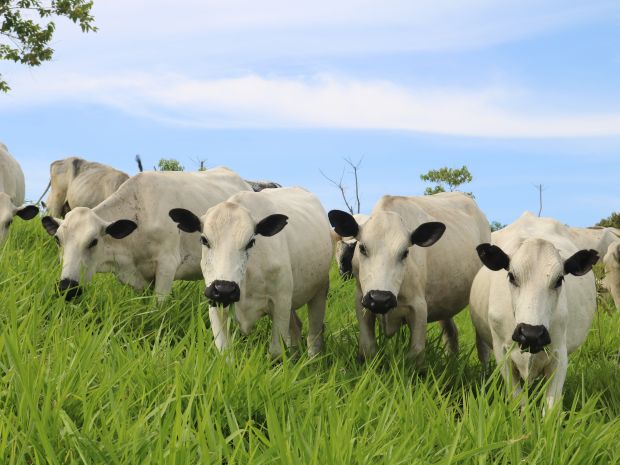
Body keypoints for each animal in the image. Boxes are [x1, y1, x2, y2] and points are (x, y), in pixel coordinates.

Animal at [170, 187, 332, 358]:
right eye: (204, 240)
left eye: (251, 242)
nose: (224, 289)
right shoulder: (215, 304)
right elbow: (224, 353)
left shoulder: (280, 303)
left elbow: (275, 352)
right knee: (295, 328)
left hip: (320, 291)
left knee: (314, 333)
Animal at [326, 190, 492, 364]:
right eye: (362, 248)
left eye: (405, 252)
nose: (380, 298)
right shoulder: (362, 301)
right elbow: (368, 349)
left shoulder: (419, 307)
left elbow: (416, 354)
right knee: (451, 332)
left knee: (482, 345)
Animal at [470, 212, 600, 408]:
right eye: (511, 276)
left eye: (559, 280)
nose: (531, 333)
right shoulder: (502, 353)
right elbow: (519, 402)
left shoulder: (560, 355)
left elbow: (551, 407)